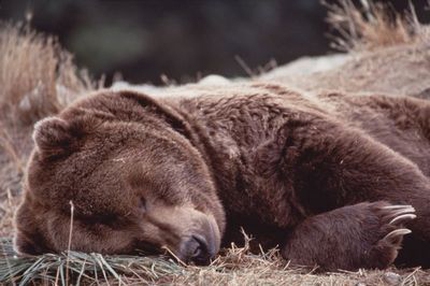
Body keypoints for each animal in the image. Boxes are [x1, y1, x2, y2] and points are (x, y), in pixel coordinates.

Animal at [11, 82, 430, 270]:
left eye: (140, 198)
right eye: (136, 245)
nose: (194, 246)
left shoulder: (275, 138)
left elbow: (381, 173)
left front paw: (402, 216)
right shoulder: (247, 228)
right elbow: (283, 246)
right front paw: (383, 226)